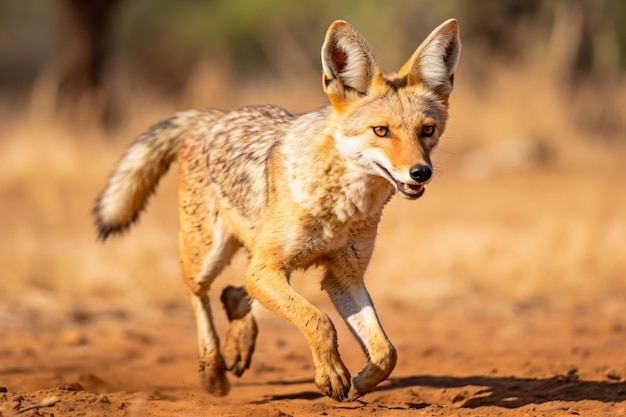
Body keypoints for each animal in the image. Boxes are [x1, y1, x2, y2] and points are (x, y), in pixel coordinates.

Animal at [95, 18, 460, 400]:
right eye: (381, 131)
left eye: (427, 131)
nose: (421, 172)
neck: (340, 210)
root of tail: (213, 116)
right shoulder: (270, 270)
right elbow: (319, 321)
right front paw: (331, 375)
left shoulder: (343, 278)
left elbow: (386, 352)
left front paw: (359, 382)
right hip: (208, 259)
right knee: (202, 298)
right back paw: (213, 371)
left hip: (253, 261)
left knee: (235, 294)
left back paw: (239, 342)